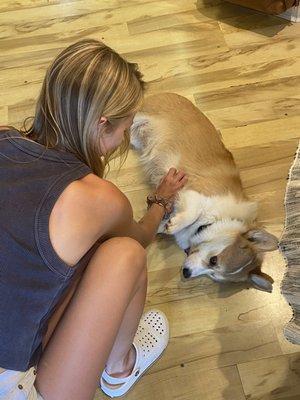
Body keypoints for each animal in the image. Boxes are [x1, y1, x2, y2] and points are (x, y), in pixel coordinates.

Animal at [130, 92, 278, 292]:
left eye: (214, 275)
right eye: (214, 260)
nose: (186, 273)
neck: (213, 220)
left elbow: (151, 227)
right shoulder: (194, 194)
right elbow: (192, 213)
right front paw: (175, 224)